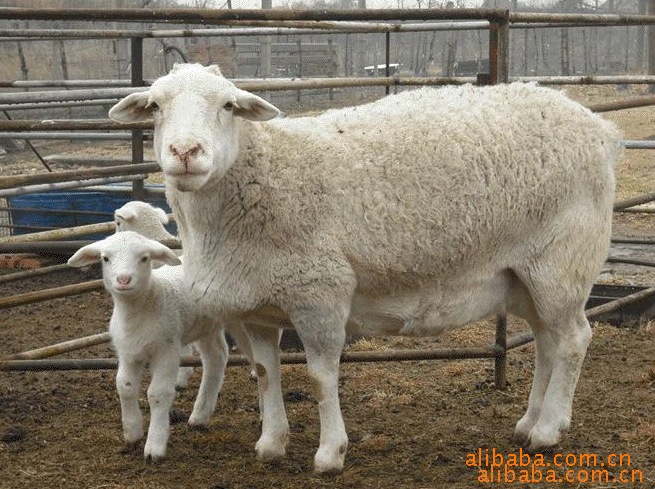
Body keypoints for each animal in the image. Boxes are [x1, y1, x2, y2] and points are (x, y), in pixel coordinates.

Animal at [67, 231, 231, 460]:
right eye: (105, 258)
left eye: (144, 258)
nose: (123, 279)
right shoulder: (127, 351)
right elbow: (124, 386)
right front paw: (132, 432)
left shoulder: (167, 350)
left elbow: (158, 393)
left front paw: (155, 445)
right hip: (206, 325)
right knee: (217, 357)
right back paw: (200, 416)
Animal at [109, 65, 624, 472]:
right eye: (155, 105)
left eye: (229, 106)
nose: (185, 152)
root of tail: (598, 127)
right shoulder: (256, 307)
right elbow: (264, 373)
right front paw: (271, 444)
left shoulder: (319, 293)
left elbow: (321, 378)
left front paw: (329, 453)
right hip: (525, 274)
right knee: (546, 343)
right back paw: (528, 423)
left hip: (562, 259)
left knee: (573, 341)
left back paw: (549, 431)